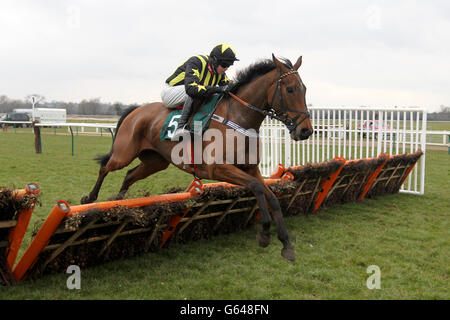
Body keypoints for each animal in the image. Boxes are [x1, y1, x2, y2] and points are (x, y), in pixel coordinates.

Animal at [81, 53, 312, 262]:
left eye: (305, 89)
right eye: (290, 89)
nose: (306, 131)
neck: (239, 118)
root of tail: (137, 110)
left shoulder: (250, 168)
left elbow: (271, 197)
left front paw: (286, 244)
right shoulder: (218, 168)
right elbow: (256, 188)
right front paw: (264, 233)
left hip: (155, 162)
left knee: (129, 175)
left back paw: (119, 202)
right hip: (124, 153)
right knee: (105, 168)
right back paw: (90, 198)